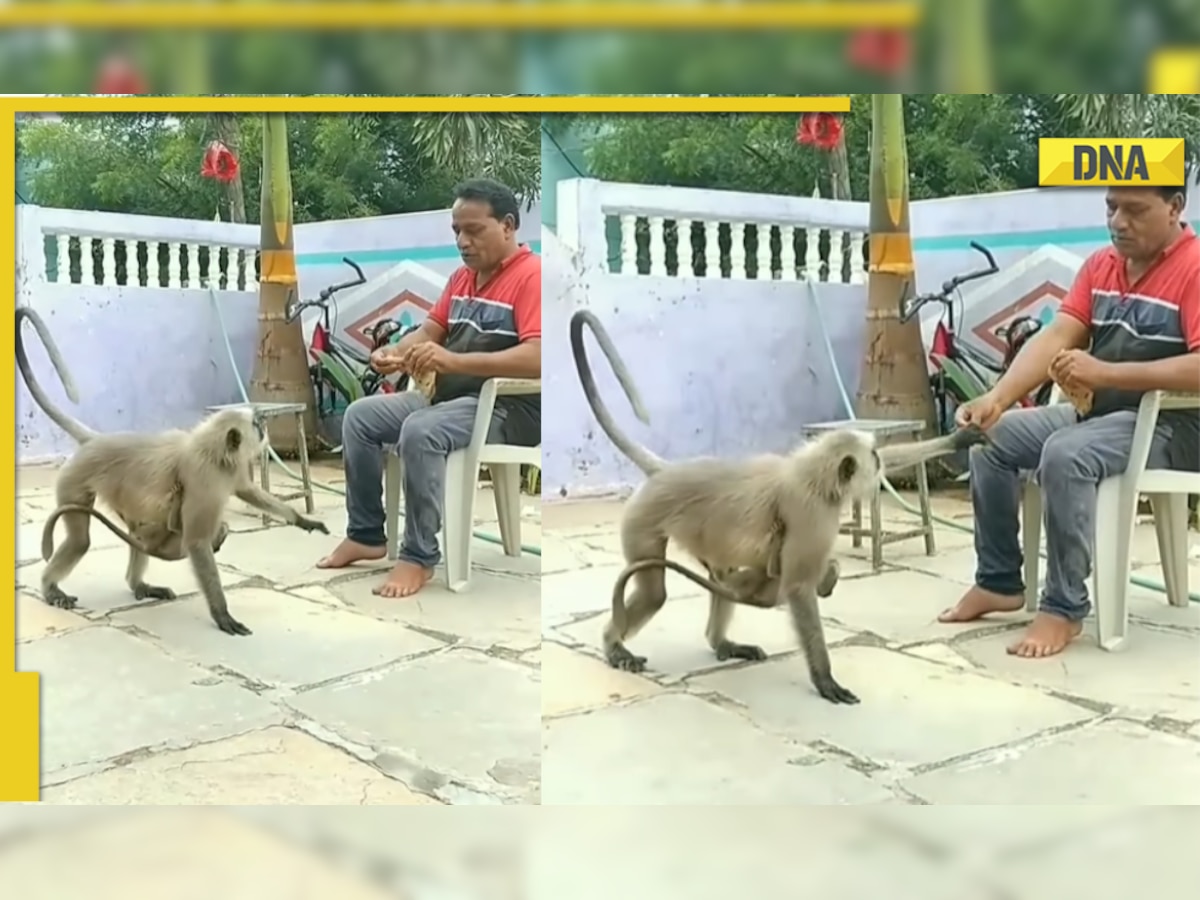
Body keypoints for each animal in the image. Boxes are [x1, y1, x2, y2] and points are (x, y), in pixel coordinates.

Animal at [18, 307, 328, 638]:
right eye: (255, 426)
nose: (264, 431)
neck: (213, 452)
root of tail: (95, 441)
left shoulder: (229, 471)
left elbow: (248, 492)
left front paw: (302, 519)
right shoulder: (204, 479)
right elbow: (196, 542)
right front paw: (221, 614)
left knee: (137, 534)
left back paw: (139, 585)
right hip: (74, 480)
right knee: (81, 541)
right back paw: (50, 587)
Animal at [568, 309, 984, 705]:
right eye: (874, 462)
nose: (878, 465)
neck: (813, 476)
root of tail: (665, 471)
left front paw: (960, 437)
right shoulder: (811, 514)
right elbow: (798, 587)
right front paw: (824, 679)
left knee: (723, 579)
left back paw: (722, 642)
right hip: (642, 519)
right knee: (658, 592)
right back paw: (614, 646)